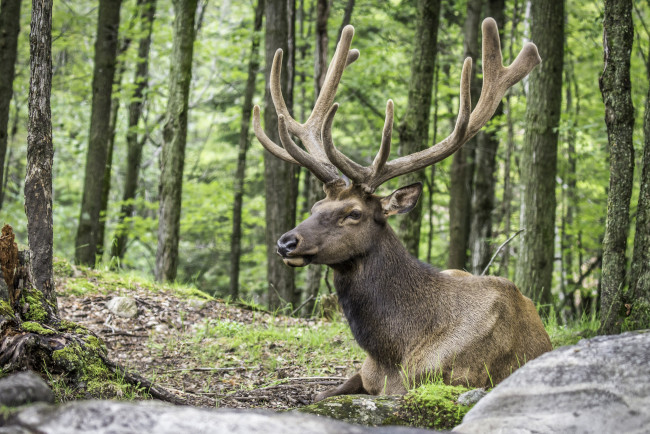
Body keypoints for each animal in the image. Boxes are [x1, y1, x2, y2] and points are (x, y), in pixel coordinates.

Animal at [252, 18, 548, 402]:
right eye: (317, 205)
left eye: (354, 213)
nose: (286, 242)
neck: (393, 352)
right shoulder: (362, 371)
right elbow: (322, 394)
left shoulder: (450, 378)